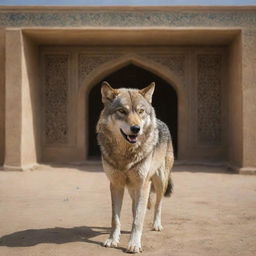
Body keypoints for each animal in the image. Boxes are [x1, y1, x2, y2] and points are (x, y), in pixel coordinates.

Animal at [96, 81, 174, 252]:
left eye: (140, 111)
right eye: (122, 111)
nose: (136, 129)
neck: (126, 155)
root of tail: (161, 121)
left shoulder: (143, 184)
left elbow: (138, 219)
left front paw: (134, 244)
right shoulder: (116, 185)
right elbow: (115, 219)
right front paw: (113, 240)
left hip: (159, 181)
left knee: (157, 204)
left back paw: (156, 225)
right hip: (133, 188)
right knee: (135, 207)